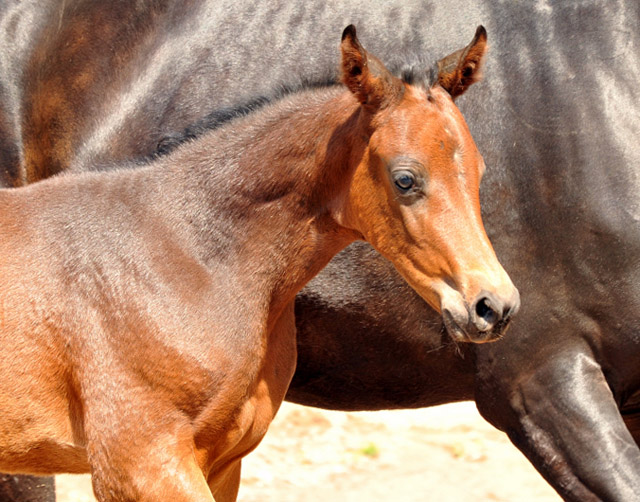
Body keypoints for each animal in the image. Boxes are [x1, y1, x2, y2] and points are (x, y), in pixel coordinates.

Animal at [1, 0, 640, 502]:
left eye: (480, 173)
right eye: (405, 179)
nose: (494, 305)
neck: (188, 247)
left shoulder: (220, 459)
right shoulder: (138, 461)